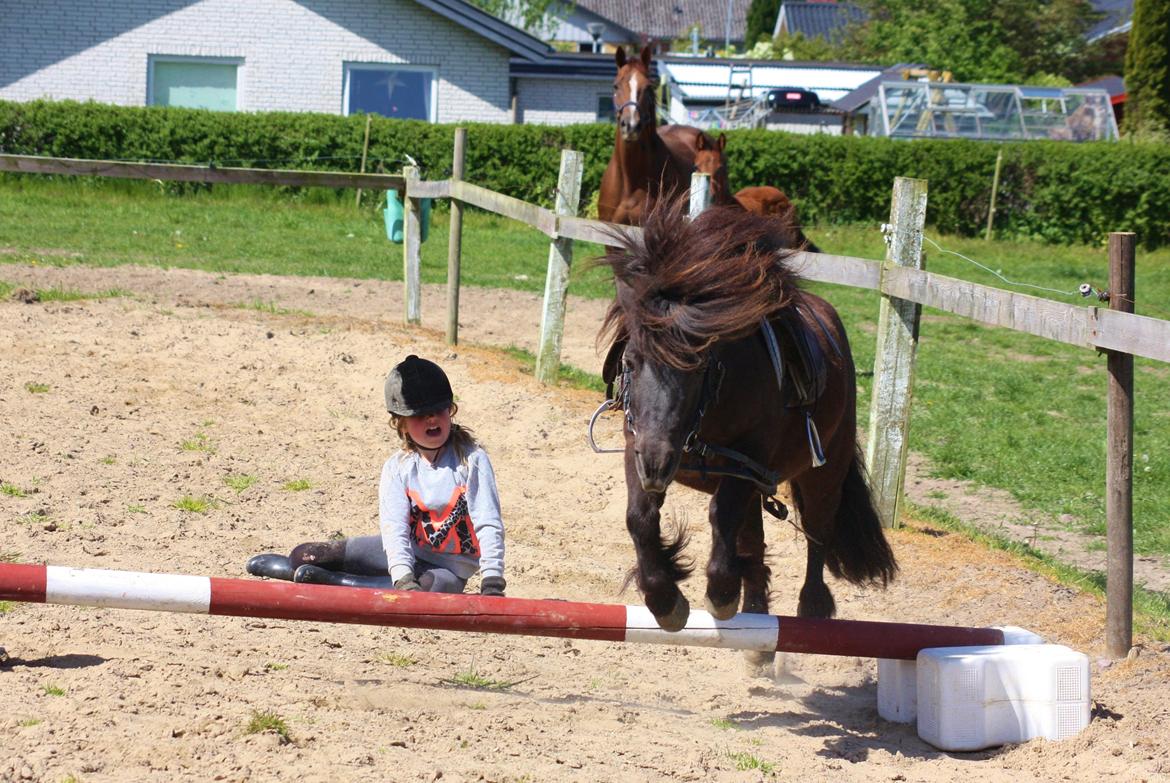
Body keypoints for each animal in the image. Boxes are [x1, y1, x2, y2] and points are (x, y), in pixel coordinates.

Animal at [599, 196, 898, 655]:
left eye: (699, 366)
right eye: (631, 362)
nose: (658, 462)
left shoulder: (745, 460)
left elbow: (721, 515)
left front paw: (721, 593)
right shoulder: (639, 445)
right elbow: (640, 518)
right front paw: (665, 598)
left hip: (823, 473)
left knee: (817, 534)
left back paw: (809, 610)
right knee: (754, 540)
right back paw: (756, 617)